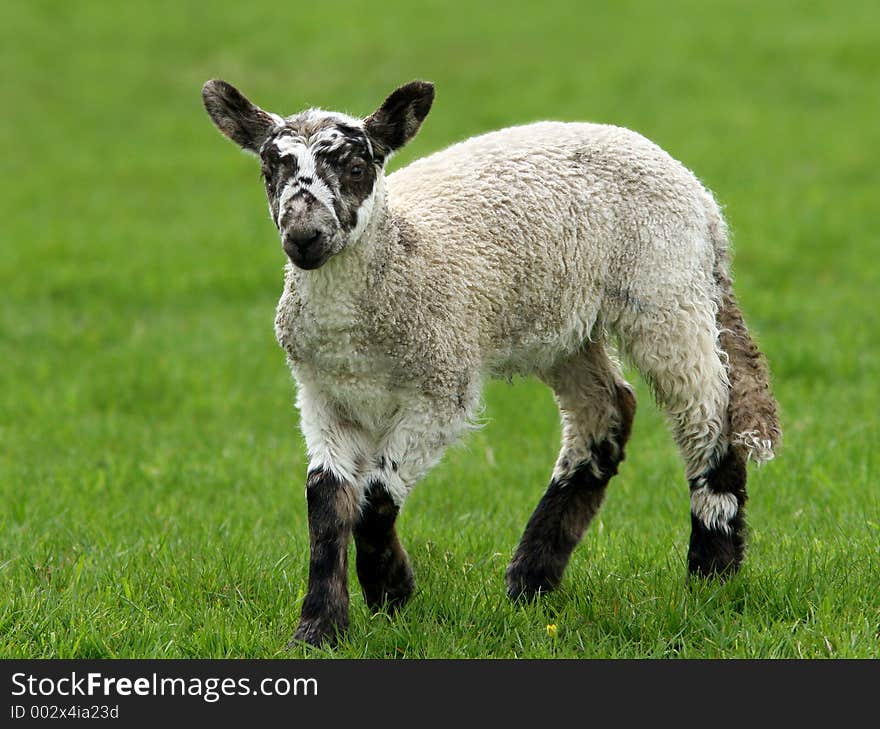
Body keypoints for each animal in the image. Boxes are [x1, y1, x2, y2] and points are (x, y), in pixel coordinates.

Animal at [201, 79, 784, 644]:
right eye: (269, 170)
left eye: (356, 168)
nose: (304, 237)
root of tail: (704, 203)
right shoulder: (322, 393)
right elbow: (326, 505)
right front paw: (319, 629)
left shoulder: (442, 384)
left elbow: (374, 497)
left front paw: (392, 592)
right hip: (564, 322)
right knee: (605, 410)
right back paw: (531, 578)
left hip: (665, 290)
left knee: (707, 414)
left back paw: (711, 570)